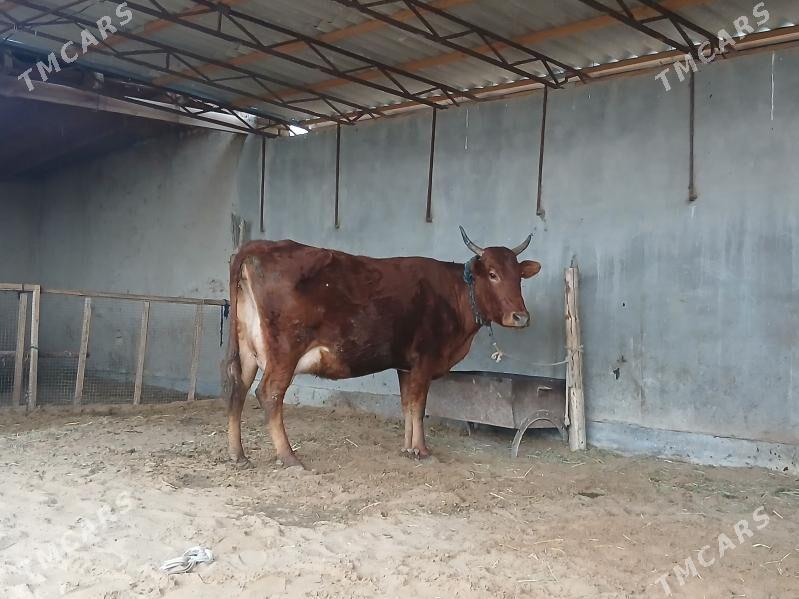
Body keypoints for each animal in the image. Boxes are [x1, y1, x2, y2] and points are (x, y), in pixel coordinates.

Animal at [224, 227, 541, 468]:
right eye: (492, 273)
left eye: (518, 277)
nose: (521, 317)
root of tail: (260, 246)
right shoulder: (424, 359)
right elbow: (419, 406)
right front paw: (421, 450)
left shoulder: (405, 365)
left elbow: (407, 405)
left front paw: (408, 447)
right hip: (284, 351)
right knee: (269, 393)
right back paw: (289, 457)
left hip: (247, 349)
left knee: (238, 387)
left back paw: (238, 455)